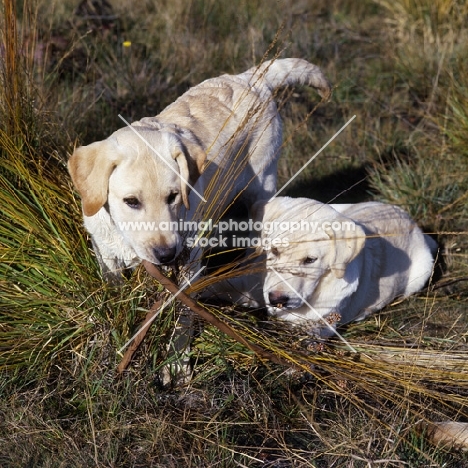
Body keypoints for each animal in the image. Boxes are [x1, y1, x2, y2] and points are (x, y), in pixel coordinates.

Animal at [67, 56, 330, 280]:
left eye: (173, 196)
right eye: (131, 201)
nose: (166, 254)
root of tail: (250, 78)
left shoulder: (189, 257)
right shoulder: (106, 255)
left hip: (260, 188)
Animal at [254, 197, 436, 336]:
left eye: (310, 260)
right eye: (274, 250)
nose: (276, 299)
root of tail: (408, 217)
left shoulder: (325, 323)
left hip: (422, 271)